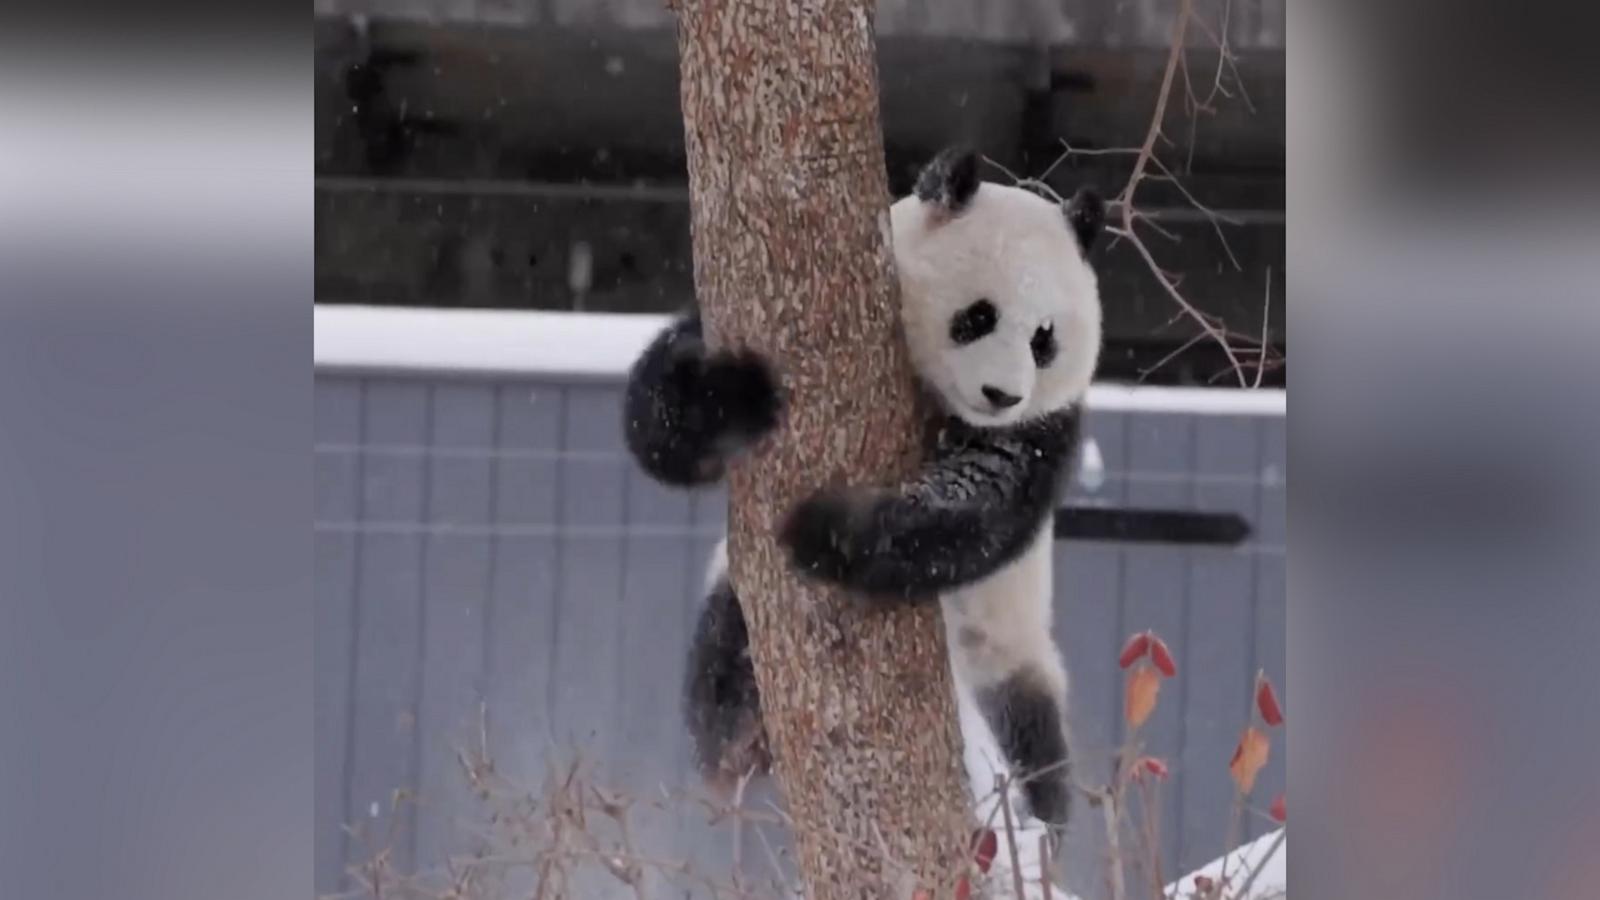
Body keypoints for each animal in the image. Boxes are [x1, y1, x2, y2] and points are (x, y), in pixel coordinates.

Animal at [617, 145, 1107, 826]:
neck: (942, 403)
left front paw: (828, 531)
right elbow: (662, 410)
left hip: (1011, 656)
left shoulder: (1042, 428)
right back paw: (738, 740)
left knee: (1036, 744)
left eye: (1045, 338)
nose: (1003, 395)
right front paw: (734, 398)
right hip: (736, 604)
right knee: (725, 660)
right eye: (978, 317)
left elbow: (981, 505)